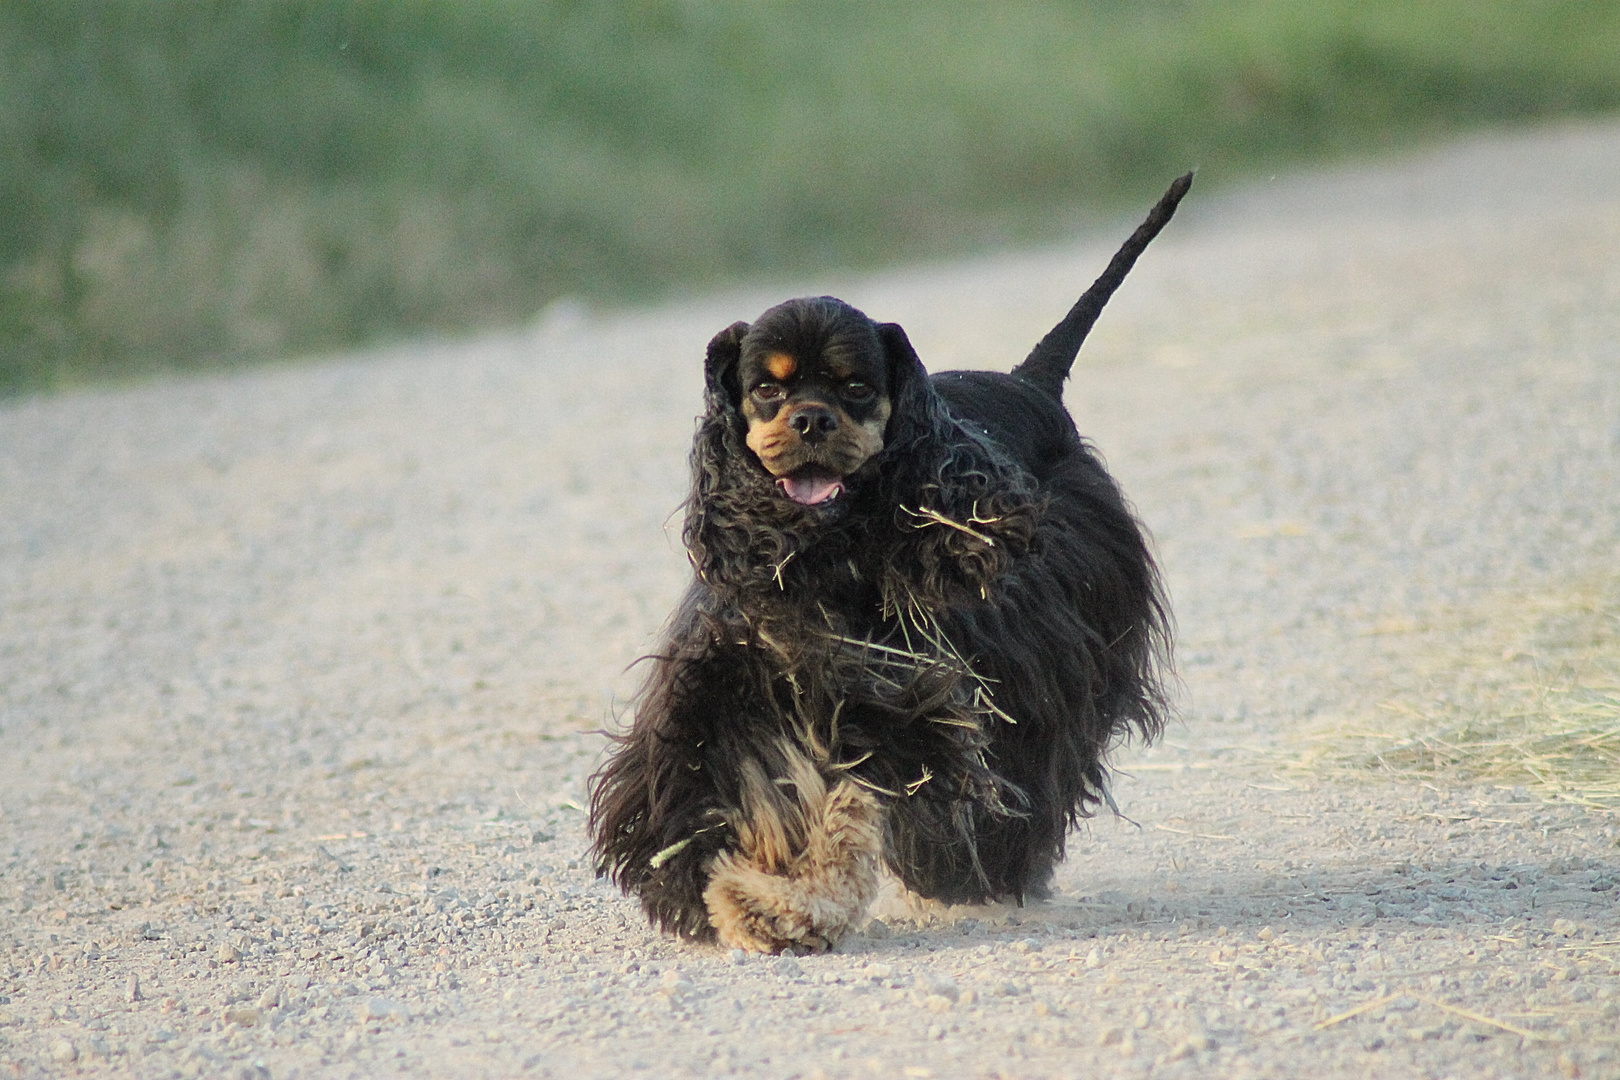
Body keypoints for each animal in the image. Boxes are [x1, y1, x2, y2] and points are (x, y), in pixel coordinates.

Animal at [589, 177, 1185, 952]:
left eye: (855, 387)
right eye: (767, 389)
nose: (812, 419)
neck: (821, 551)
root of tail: (1030, 382)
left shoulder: (900, 698)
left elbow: (847, 796)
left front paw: (782, 901)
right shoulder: (728, 683)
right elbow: (732, 784)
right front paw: (722, 887)